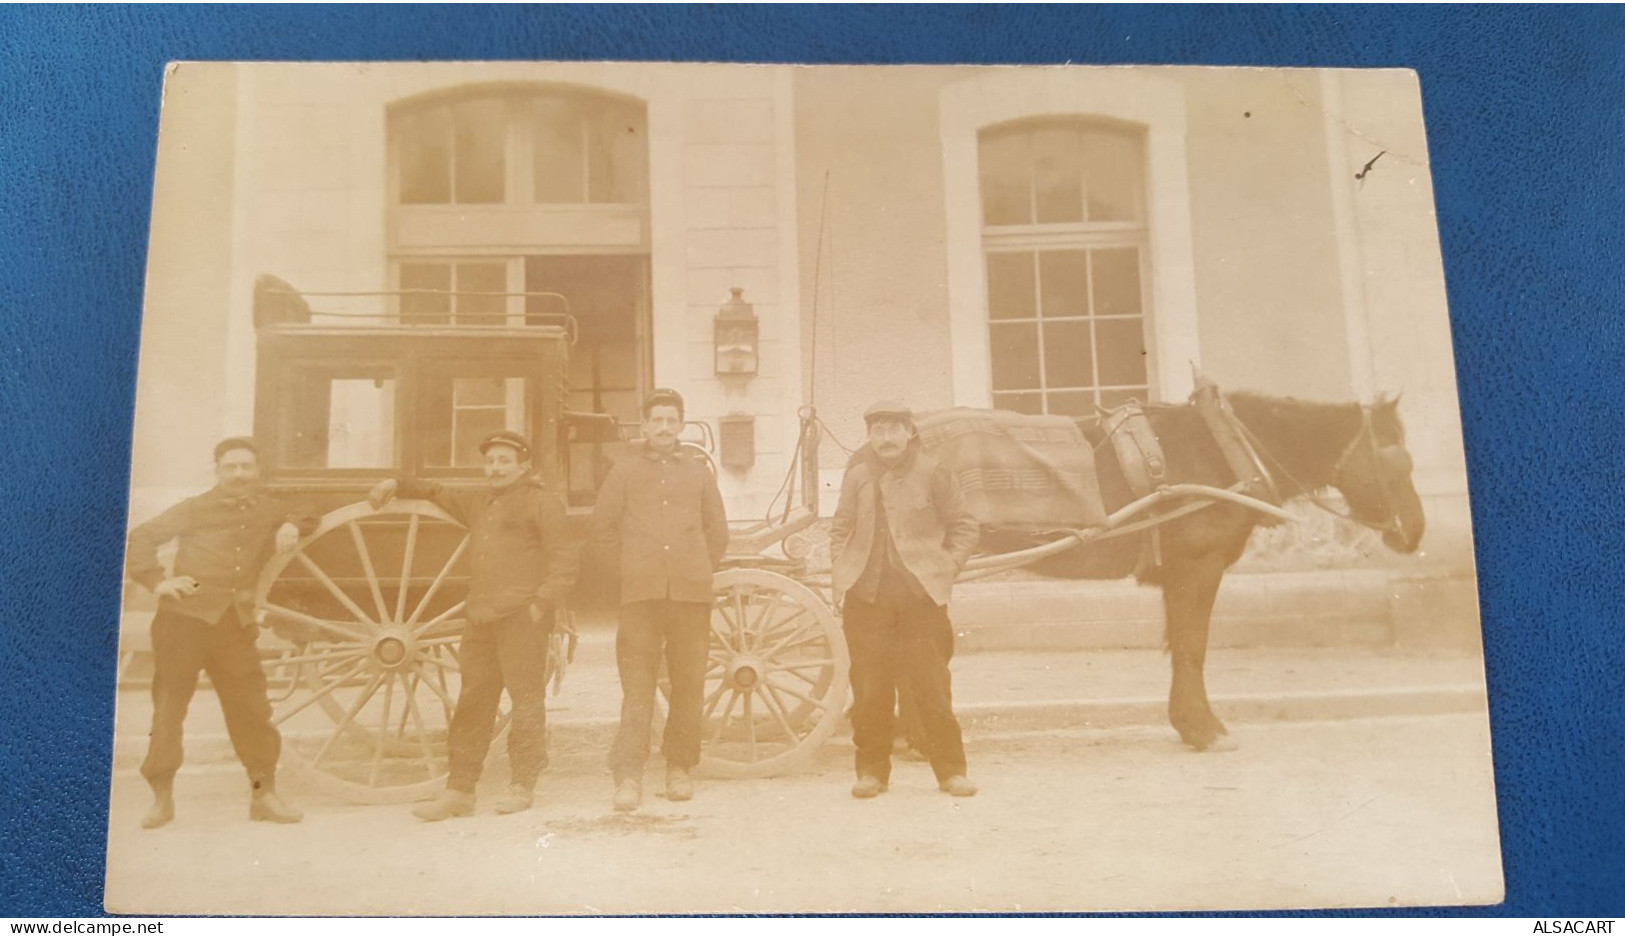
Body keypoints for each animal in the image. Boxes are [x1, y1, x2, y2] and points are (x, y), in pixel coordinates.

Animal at [975, 391, 1423, 750]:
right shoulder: (1197, 567)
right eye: (1396, 462)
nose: (1416, 531)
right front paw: (1203, 728)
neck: (1221, 450)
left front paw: (1191, 723)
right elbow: (1192, 646)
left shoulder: (1180, 574)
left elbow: (1183, 645)